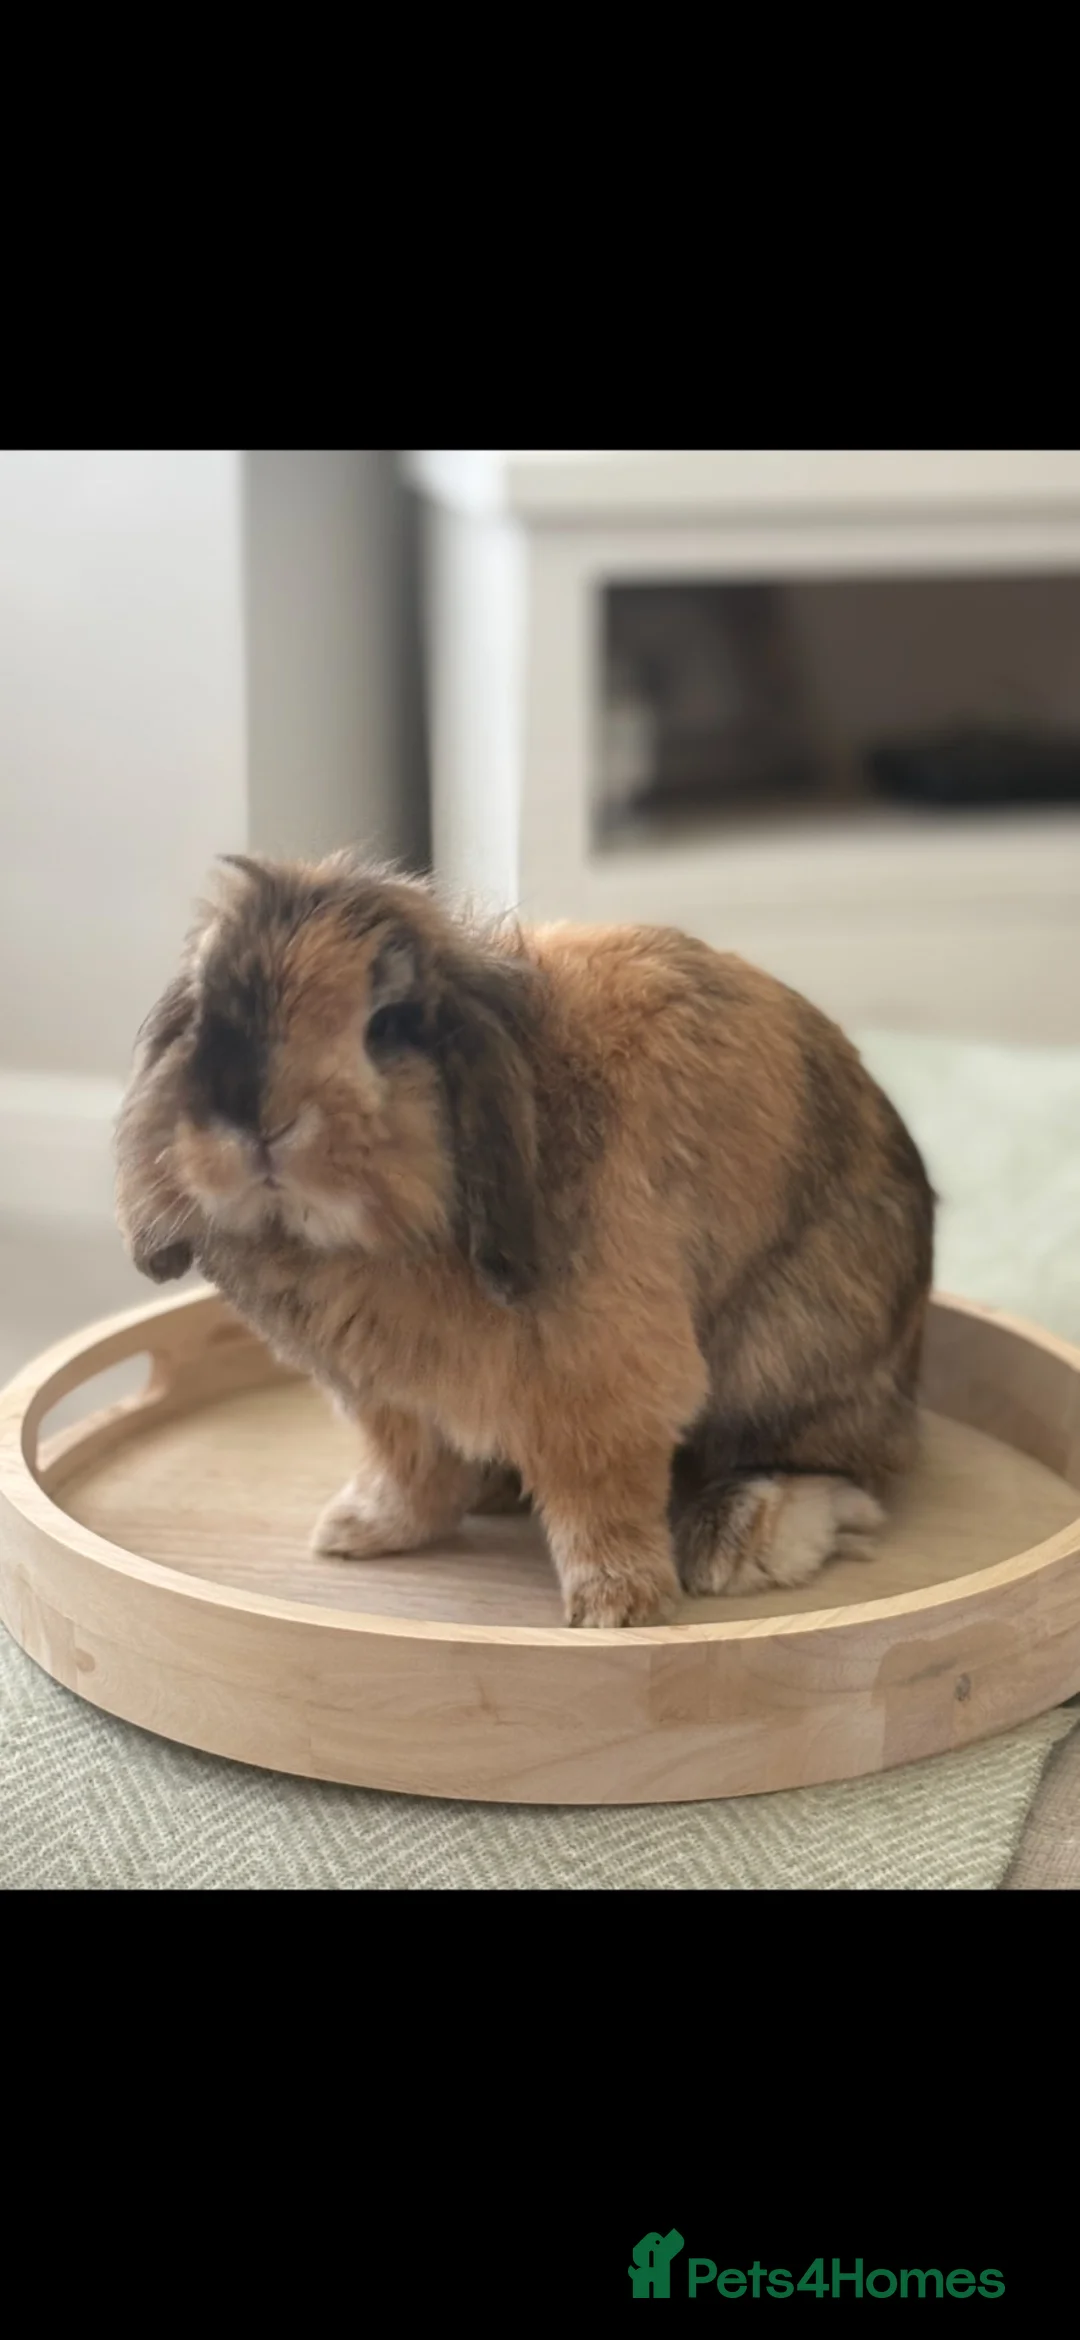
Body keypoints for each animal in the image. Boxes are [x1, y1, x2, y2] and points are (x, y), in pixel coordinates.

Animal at [115, 851, 935, 1629]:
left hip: (790, 1356)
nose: (256, 1120)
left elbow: (599, 1499)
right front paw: (354, 1532)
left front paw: (617, 1608)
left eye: (386, 1025)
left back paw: (738, 1540)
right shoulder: (392, 1400)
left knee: (841, 1469)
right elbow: (409, 1472)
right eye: (203, 1017)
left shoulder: (600, 1390)